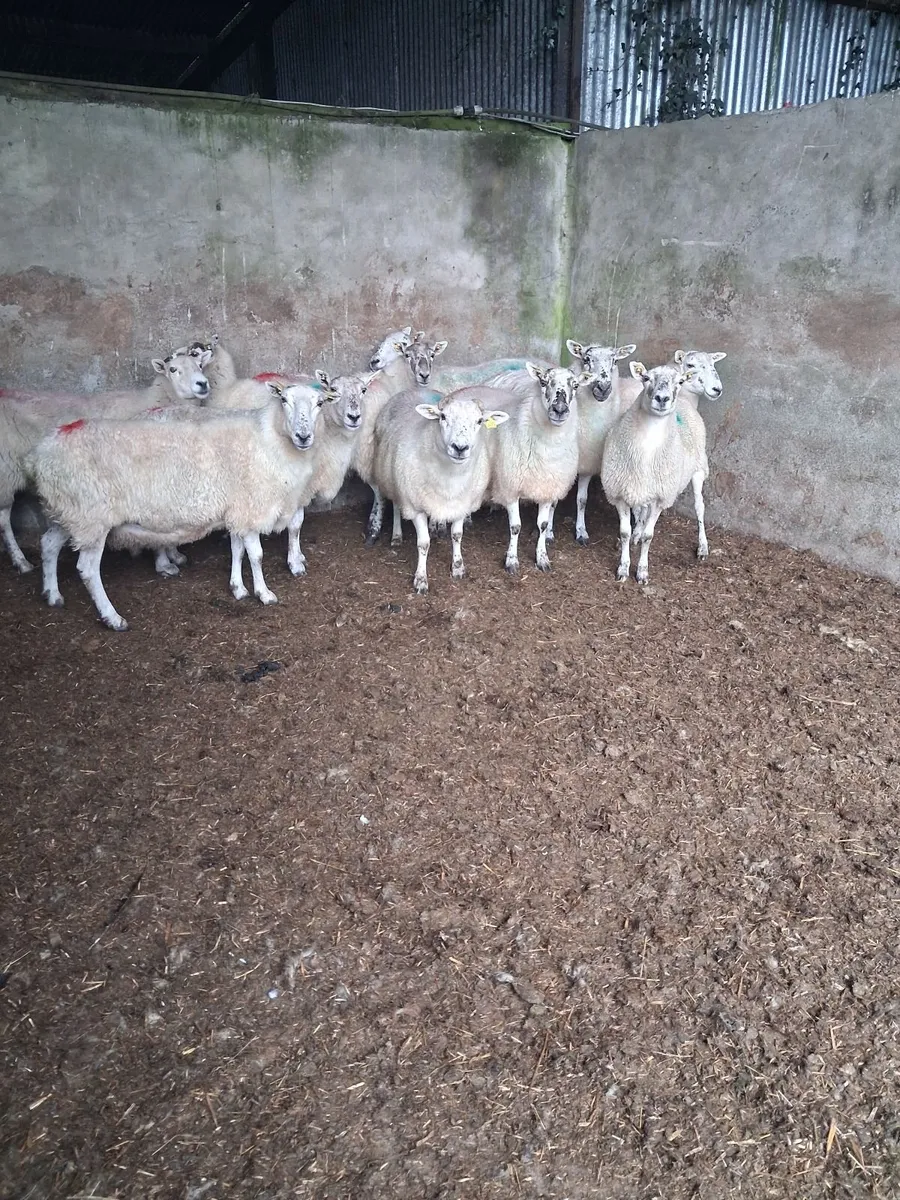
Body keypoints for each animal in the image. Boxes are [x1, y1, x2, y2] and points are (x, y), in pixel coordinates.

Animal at [0, 345, 212, 575]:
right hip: (5, 471)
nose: (202, 384)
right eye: (173, 369)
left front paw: (174, 553)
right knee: (4, 519)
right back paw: (21, 561)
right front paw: (163, 562)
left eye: (200, 365)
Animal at [30, 380, 330, 630]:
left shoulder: (237, 508)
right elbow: (255, 555)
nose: (303, 436)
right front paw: (263, 593)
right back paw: (113, 617)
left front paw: (238, 588)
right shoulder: (251, 508)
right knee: (88, 570)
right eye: (284, 400)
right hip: (92, 518)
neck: (270, 439)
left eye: (320, 403)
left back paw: (52, 594)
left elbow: (238, 549)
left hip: (69, 513)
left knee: (49, 544)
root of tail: (44, 452)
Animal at [372, 387, 510, 594]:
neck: (450, 477)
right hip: (392, 480)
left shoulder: (462, 503)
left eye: (479, 421)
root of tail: (415, 388)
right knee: (396, 507)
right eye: (443, 417)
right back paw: (397, 536)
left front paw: (458, 567)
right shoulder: (415, 506)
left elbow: (457, 535)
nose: (460, 448)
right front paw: (421, 579)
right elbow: (423, 544)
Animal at [485, 364, 595, 574]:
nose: (559, 409)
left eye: (576, 385)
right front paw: (511, 561)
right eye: (543, 382)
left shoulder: (548, 486)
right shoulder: (512, 485)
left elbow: (542, 525)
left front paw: (542, 557)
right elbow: (515, 526)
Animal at [600, 361, 708, 585]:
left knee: (700, 507)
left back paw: (703, 547)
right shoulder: (620, 493)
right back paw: (637, 534)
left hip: (698, 469)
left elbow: (649, 536)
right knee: (641, 511)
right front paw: (623, 568)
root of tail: (685, 401)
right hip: (643, 487)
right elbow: (624, 532)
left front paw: (642, 572)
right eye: (646, 378)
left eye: (680, 381)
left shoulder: (661, 497)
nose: (662, 398)